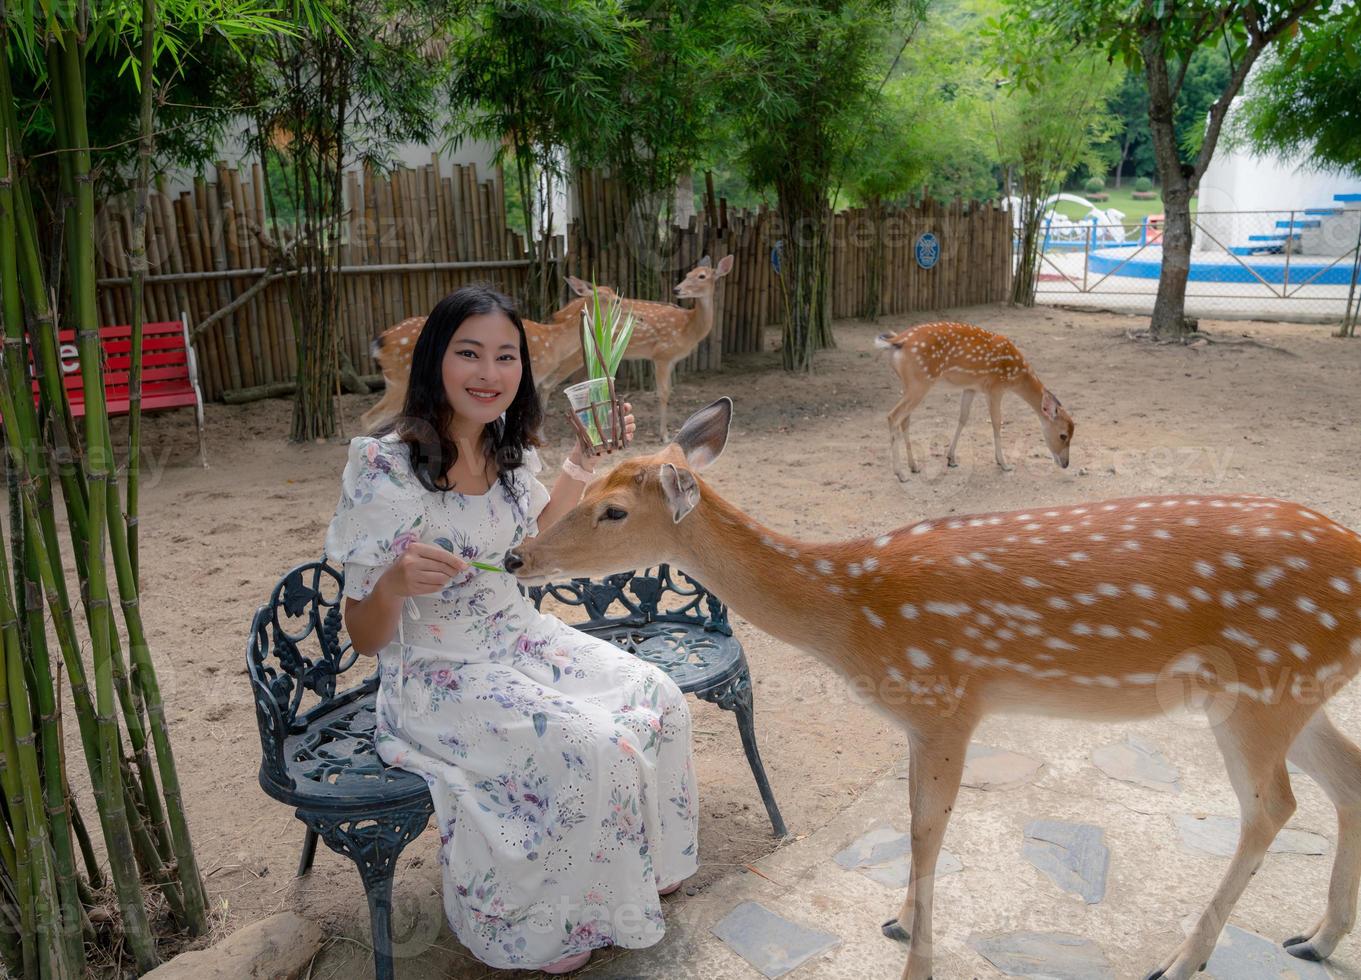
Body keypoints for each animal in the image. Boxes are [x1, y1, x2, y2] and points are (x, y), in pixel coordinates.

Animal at [362, 273, 617, 430]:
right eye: (608, 298)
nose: (621, 301)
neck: (553, 343)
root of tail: (379, 343)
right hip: (402, 382)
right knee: (369, 419)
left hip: (392, 383)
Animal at [503, 397, 1361, 980]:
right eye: (582, 487)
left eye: (614, 510)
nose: (516, 556)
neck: (853, 611)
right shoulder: (918, 722)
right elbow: (917, 823)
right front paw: (897, 922)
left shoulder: (948, 700)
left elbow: (925, 831)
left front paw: (916, 957)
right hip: (1293, 689)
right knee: (1345, 776)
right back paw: (1312, 938)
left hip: (1258, 689)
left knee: (1272, 806)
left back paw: (1182, 959)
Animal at [609, 253, 729, 441]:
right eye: (687, 274)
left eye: (701, 276)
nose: (676, 290)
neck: (688, 328)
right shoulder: (661, 354)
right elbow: (663, 392)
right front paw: (664, 435)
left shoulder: (672, 359)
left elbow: (670, 390)